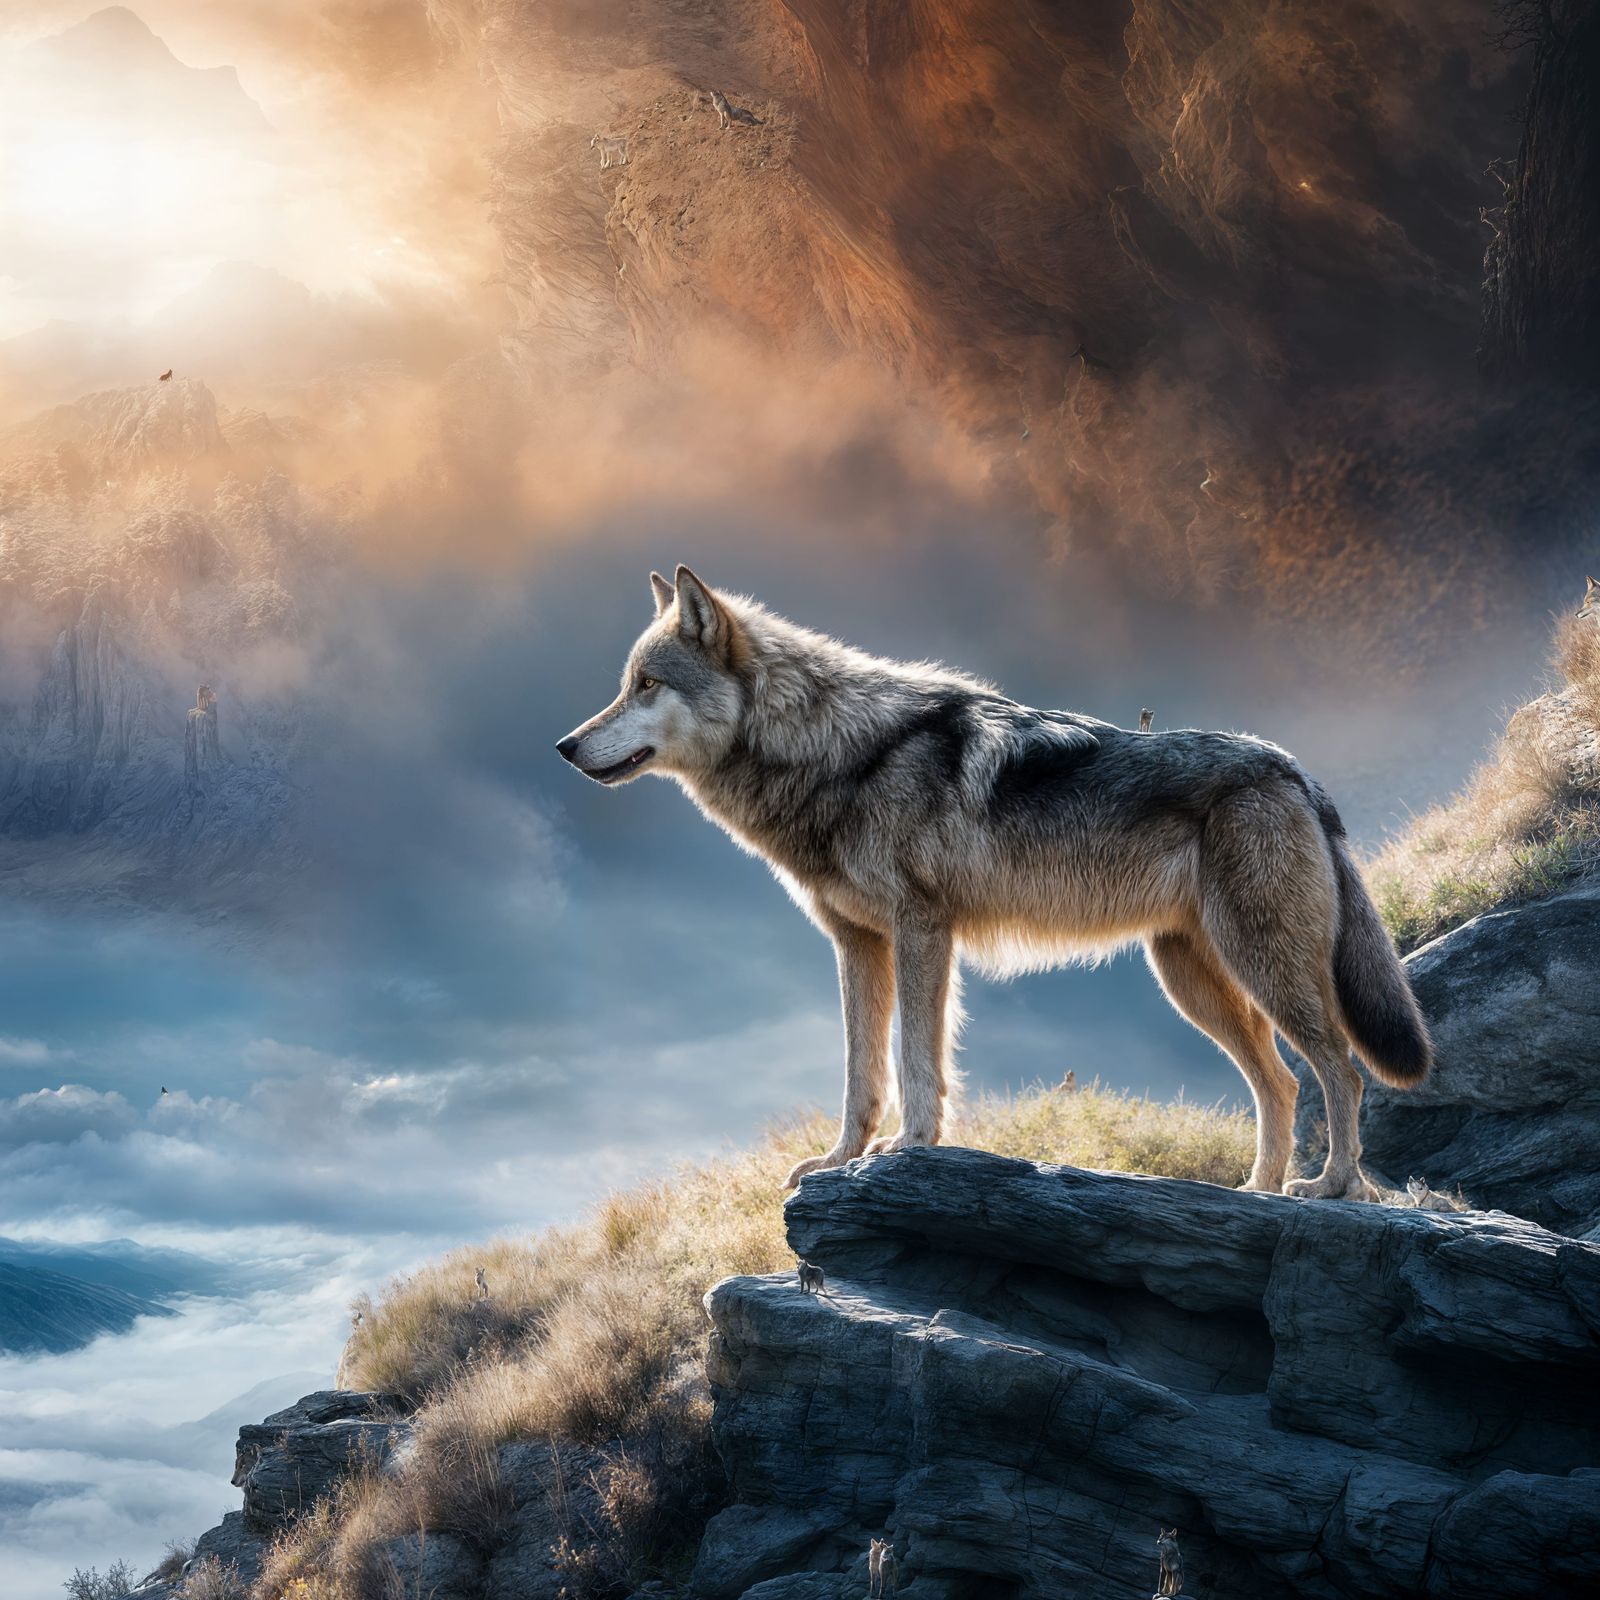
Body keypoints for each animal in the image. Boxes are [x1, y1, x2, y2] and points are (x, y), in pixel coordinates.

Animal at [556, 567, 1432, 1201]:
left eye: (645, 685)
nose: (565, 746)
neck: (839, 752)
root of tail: (1291, 768)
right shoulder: (857, 945)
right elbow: (859, 1073)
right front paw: (840, 1160)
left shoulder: (921, 931)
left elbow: (915, 1061)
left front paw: (908, 1149)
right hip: (1194, 982)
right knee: (1281, 1084)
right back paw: (1261, 1191)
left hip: (1261, 972)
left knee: (1342, 1070)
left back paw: (1333, 1188)